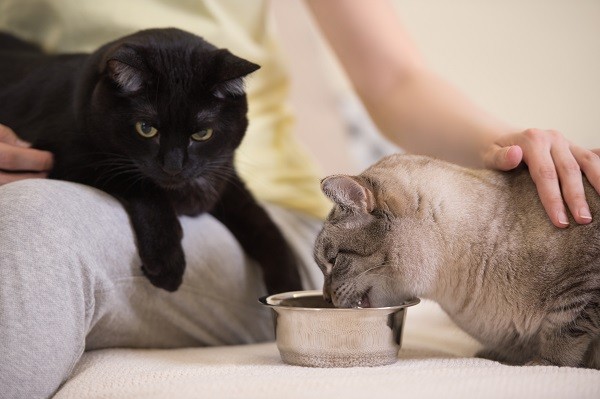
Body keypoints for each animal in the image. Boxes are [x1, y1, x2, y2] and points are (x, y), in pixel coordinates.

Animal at [0, 26, 300, 292]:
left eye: (202, 133)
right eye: (146, 128)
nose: (173, 166)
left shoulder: (225, 180)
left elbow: (266, 226)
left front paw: (289, 290)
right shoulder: (68, 159)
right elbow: (145, 186)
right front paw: (166, 260)